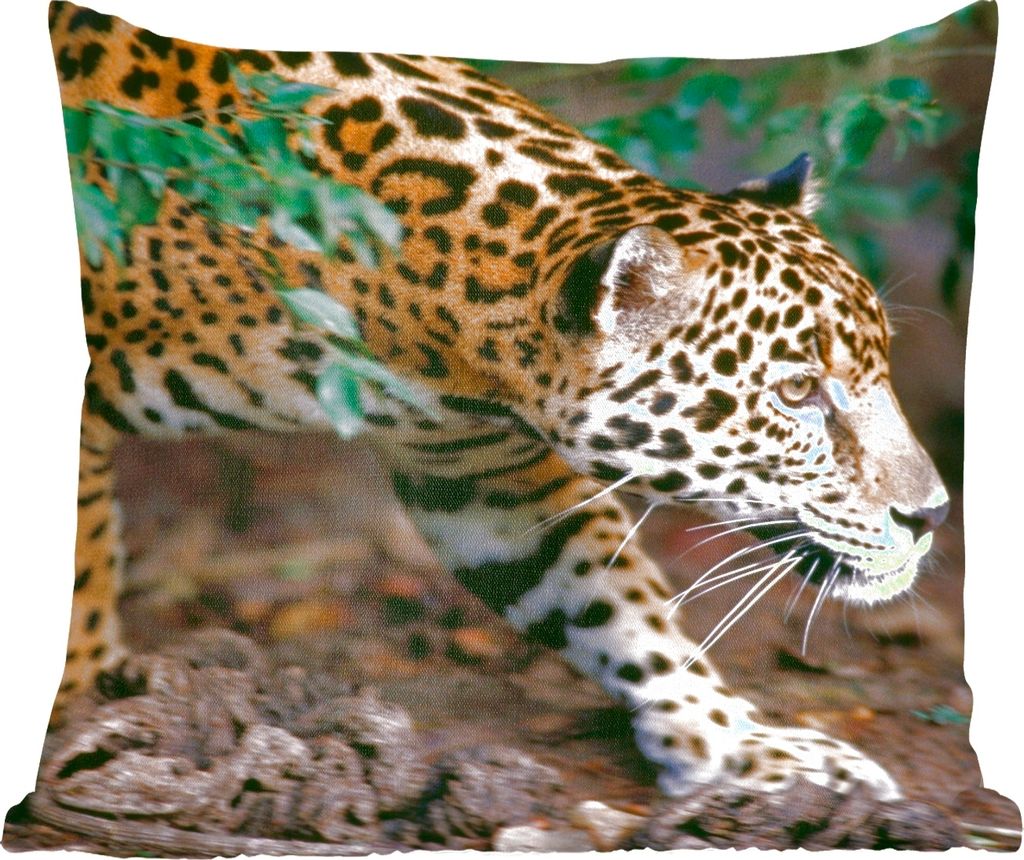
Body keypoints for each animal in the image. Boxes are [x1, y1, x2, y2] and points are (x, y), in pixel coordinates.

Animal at [47, 1, 950, 802]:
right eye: (797, 391)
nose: (933, 514)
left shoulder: (484, 471)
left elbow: (612, 599)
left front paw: (740, 744)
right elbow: (81, 580)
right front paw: (79, 718)